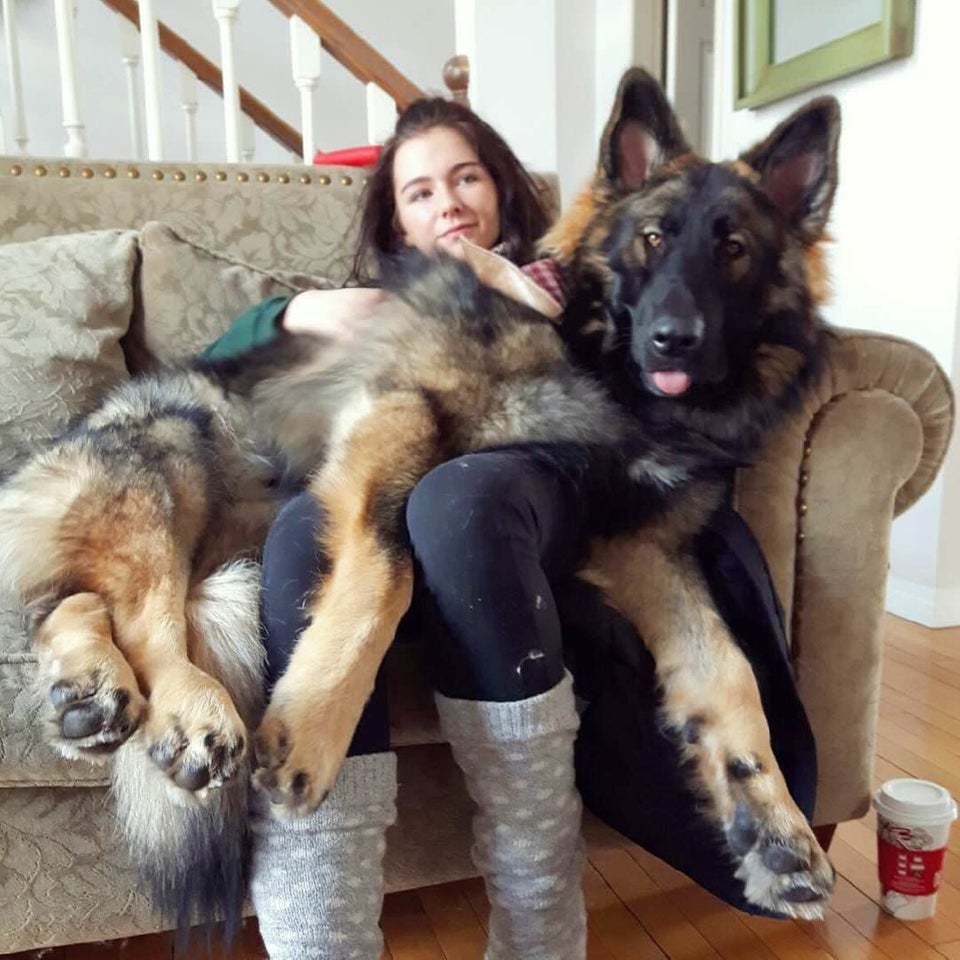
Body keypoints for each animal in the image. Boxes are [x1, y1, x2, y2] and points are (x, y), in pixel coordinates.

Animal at [0, 71, 840, 932]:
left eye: (733, 250)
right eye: (653, 238)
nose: (676, 338)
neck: (604, 371)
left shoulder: (648, 548)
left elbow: (728, 670)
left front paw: (776, 828)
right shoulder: (399, 412)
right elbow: (387, 569)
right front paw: (317, 720)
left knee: (73, 604)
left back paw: (90, 692)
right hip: (178, 449)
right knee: (147, 614)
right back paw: (188, 710)